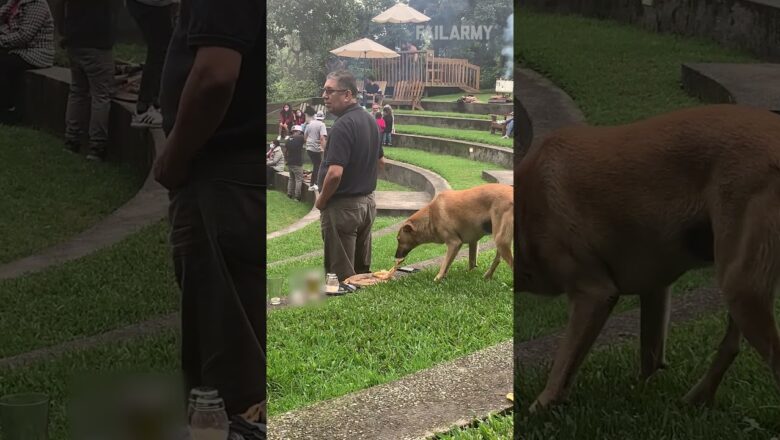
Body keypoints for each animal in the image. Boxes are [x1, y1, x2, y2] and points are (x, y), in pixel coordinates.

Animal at [516, 104, 780, 412]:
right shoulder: (655, 288)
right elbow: (650, 355)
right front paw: (641, 392)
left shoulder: (593, 293)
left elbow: (563, 363)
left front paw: (542, 405)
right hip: (739, 275)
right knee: (731, 345)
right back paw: (697, 397)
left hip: (741, 286)